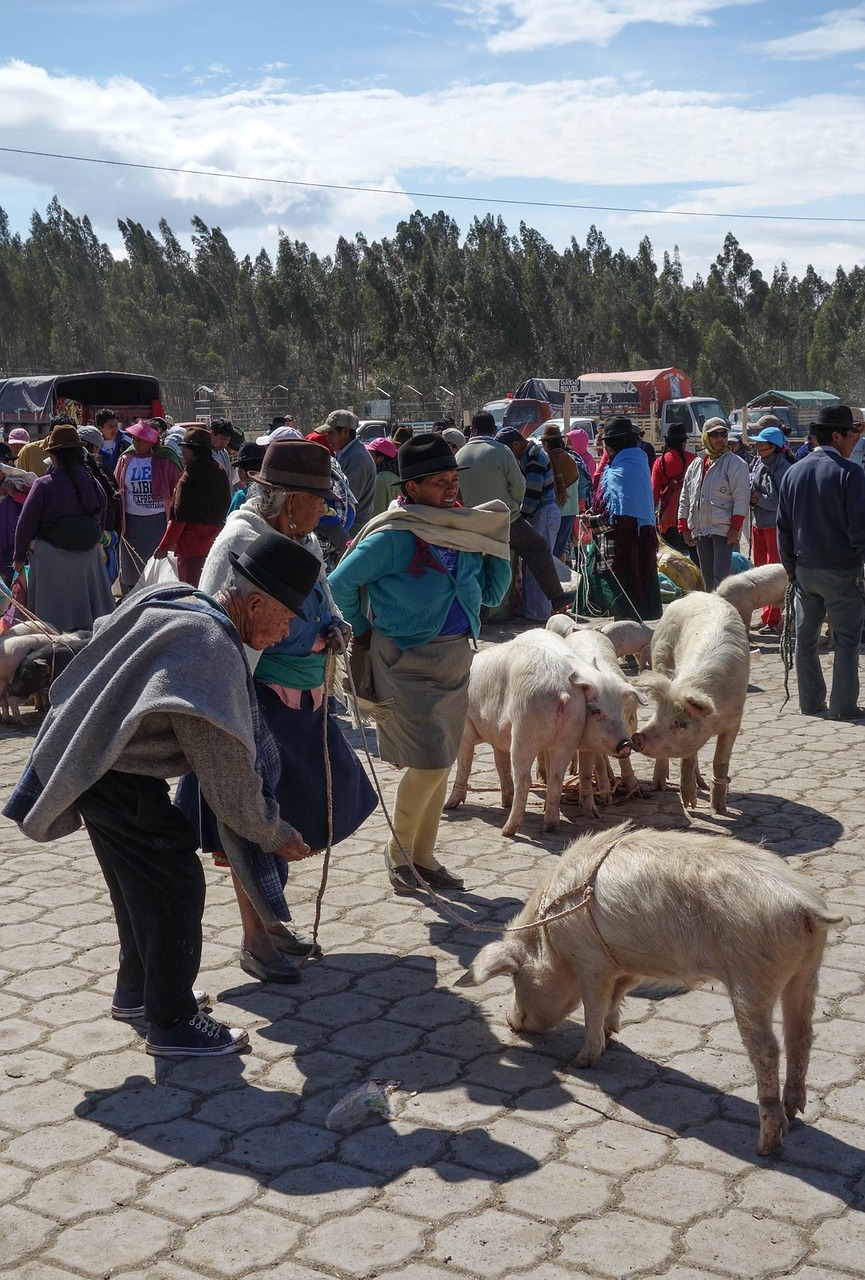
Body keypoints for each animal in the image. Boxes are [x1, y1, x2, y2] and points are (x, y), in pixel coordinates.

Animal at [442, 632, 598, 839]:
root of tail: (562, 692)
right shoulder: (498, 736)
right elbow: (501, 765)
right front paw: (504, 802)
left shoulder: (466, 727)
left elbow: (464, 765)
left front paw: (449, 805)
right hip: (570, 732)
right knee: (556, 777)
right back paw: (549, 826)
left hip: (525, 727)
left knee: (524, 780)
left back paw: (507, 831)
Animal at [460, 819, 844, 1162]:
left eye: (516, 977)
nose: (510, 1021)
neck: (551, 939)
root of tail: (806, 906)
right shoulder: (627, 963)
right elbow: (616, 997)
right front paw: (612, 1033)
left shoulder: (591, 960)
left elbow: (593, 1005)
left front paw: (581, 1060)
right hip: (806, 970)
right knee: (801, 1035)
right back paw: (794, 1111)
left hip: (752, 976)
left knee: (767, 1050)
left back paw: (768, 1145)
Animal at [629, 593, 752, 814]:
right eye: (657, 714)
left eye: (681, 724)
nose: (637, 737)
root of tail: (694, 594)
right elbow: (687, 757)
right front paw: (689, 805)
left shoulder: (735, 719)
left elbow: (720, 761)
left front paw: (719, 810)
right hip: (660, 653)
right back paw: (659, 786)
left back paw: (700, 784)